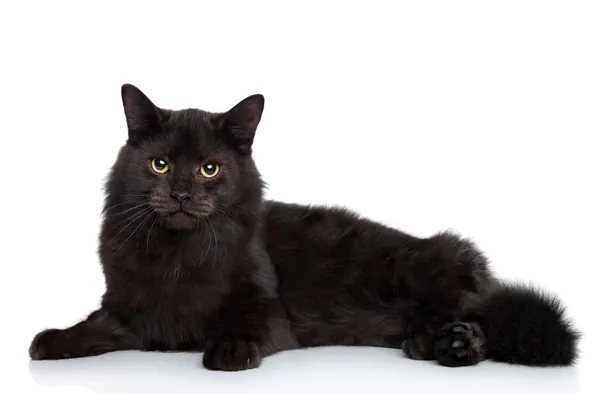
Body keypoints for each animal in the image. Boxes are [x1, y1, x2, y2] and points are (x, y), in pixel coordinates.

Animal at [29, 84, 580, 370]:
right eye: (160, 165)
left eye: (209, 168)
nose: (182, 192)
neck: (178, 255)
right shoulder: (129, 309)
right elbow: (93, 327)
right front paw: (50, 341)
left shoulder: (270, 307)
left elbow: (245, 320)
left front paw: (227, 351)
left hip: (436, 270)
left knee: (486, 313)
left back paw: (446, 342)